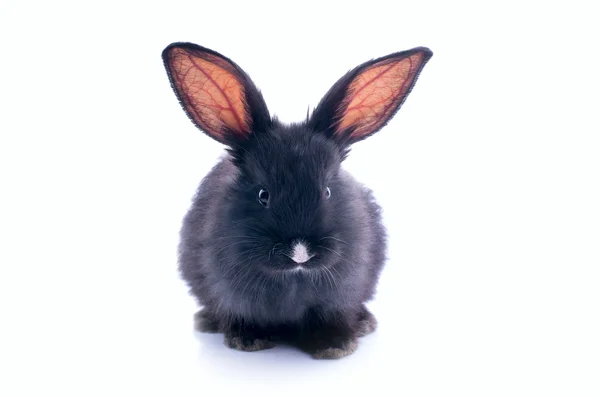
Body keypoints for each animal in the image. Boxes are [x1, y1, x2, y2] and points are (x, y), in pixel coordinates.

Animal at [159, 42, 432, 360]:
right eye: (263, 195)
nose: (300, 252)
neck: (293, 277)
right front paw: (249, 340)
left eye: (327, 191)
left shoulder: (339, 298)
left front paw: (335, 346)